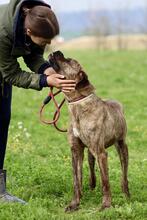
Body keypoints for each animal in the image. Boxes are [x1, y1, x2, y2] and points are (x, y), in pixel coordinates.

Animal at [48, 51, 129, 211]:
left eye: (69, 60)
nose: (57, 51)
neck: (78, 104)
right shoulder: (76, 150)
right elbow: (76, 180)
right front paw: (74, 203)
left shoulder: (101, 152)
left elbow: (105, 182)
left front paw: (106, 205)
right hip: (91, 151)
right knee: (91, 167)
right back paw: (91, 185)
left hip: (121, 147)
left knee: (124, 174)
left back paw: (126, 194)